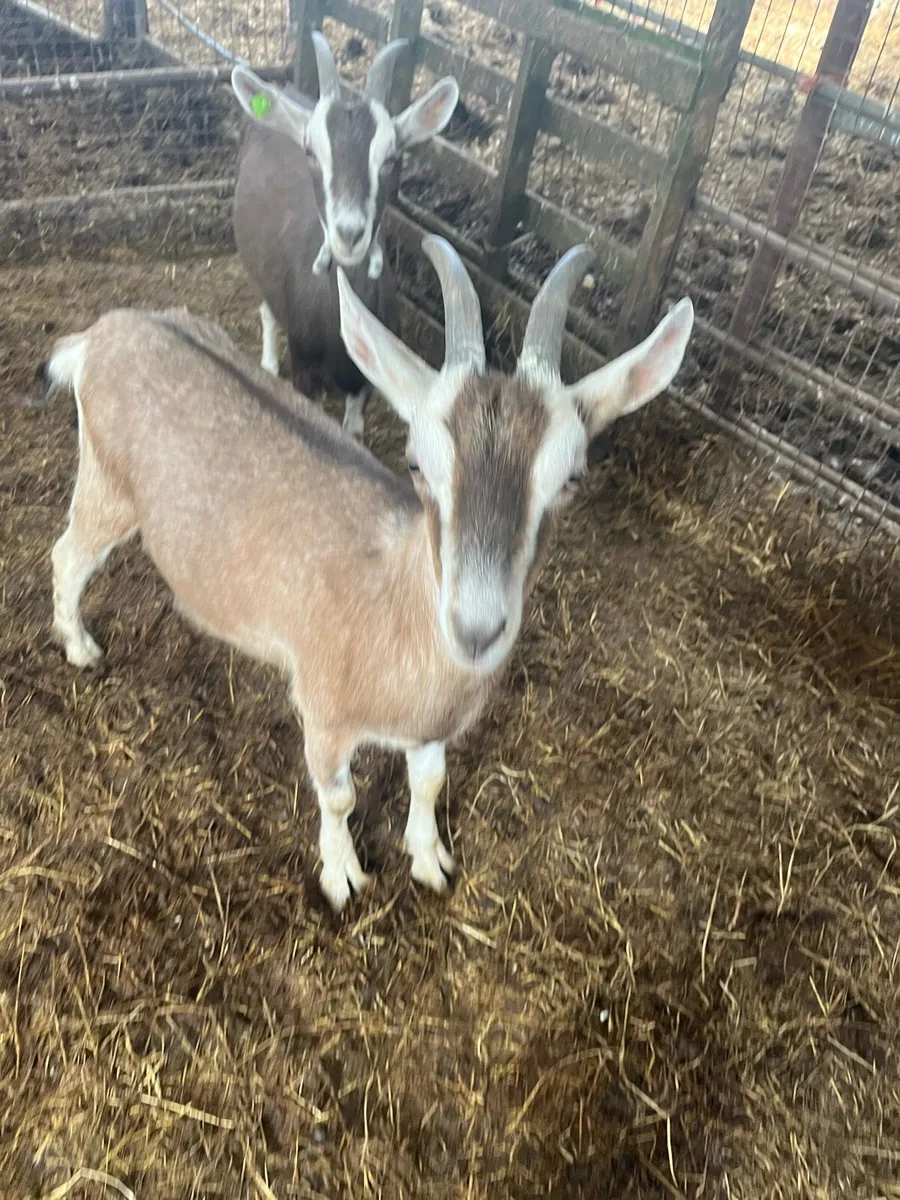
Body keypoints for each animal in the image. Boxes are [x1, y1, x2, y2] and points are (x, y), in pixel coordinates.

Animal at [46, 235, 693, 912]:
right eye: (414, 463)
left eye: (571, 478)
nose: (476, 630)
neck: (393, 605)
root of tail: (100, 336)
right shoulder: (323, 712)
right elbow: (338, 797)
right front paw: (343, 877)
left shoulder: (431, 727)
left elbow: (431, 781)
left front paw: (430, 859)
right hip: (107, 485)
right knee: (67, 555)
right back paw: (80, 647)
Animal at [230, 35, 458, 439]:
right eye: (310, 151)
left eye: (391, 157)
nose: (350, 234)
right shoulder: (305, 371)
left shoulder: (364, 382)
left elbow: (353, 431)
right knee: (267, 308)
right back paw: (268, 364)